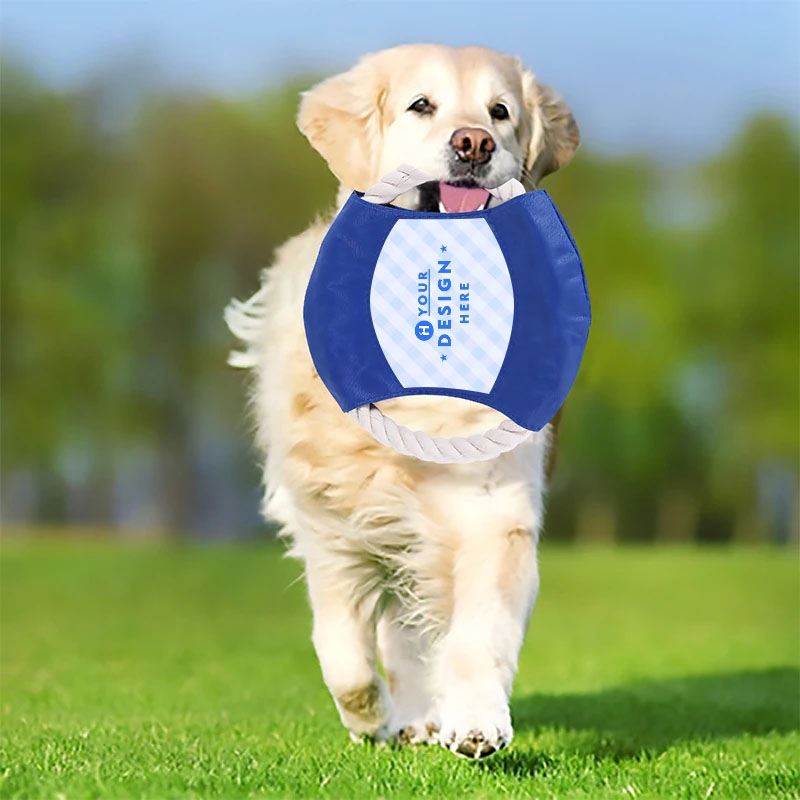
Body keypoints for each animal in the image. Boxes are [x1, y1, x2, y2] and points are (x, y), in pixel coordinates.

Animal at [225, 45, 576, 764]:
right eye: (421, 105)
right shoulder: (336, 520)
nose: (475, 142)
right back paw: (405, 719)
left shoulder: (496, 510)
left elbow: (480, 635)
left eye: (501, 112)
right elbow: (343, 649)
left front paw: (477, 724)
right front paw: (370, 719)